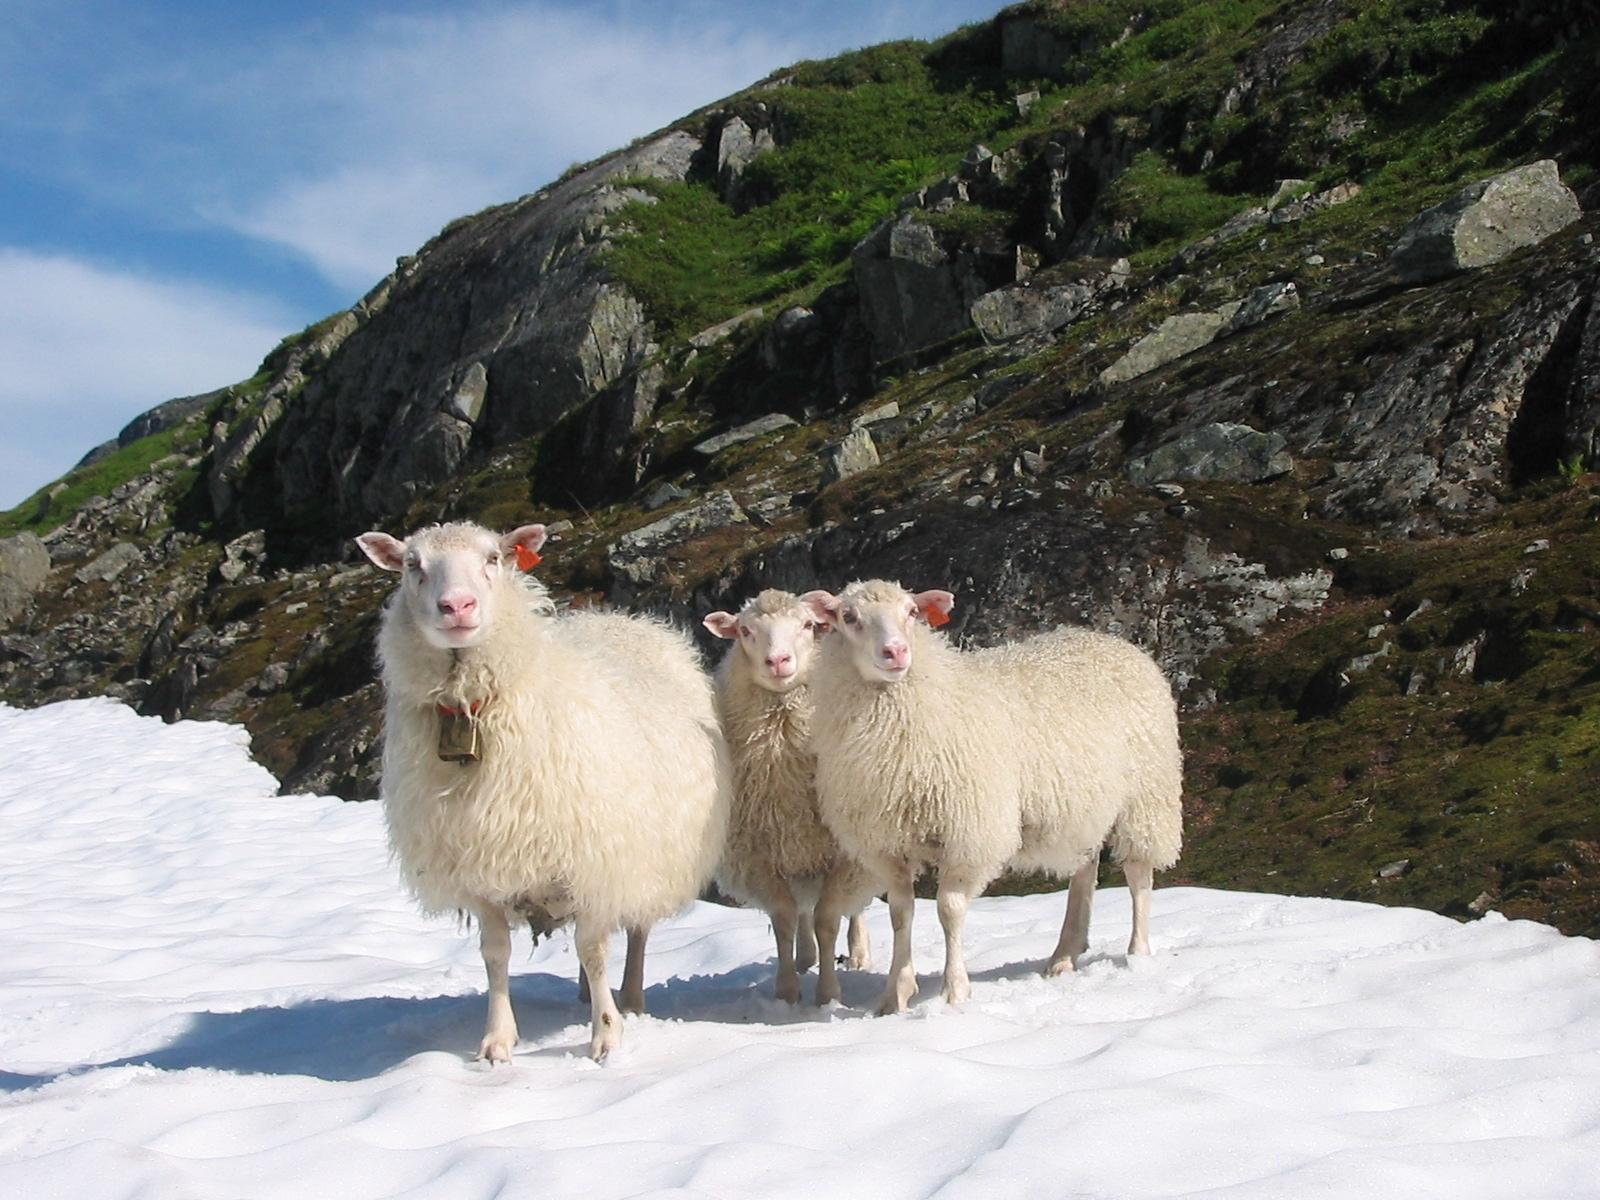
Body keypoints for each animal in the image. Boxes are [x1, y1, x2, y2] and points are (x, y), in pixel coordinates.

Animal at [356, 520, 730, 1062]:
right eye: (412, 564)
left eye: (493, 558)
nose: (457, 607)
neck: (472, 707)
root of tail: (621, 619)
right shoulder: (482, 870)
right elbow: (495, 955)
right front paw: (497, 1042)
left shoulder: (595, 862)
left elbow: (595, 949)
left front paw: (605, 1036)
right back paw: (585, 995)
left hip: (648, 850)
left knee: (637, 928)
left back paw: (630, 997)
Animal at [702, 589, 876, 1005]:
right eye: (745, 631)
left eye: (808, 625)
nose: (778, 661)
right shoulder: (760, 857)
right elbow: (784, 918)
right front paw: (786, 991)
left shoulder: (843, 855)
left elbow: (829, 919)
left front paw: (828, 993)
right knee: (803, 912)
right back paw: (804, 957)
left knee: (852, 910)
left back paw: (858, 952)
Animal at [803, 580, 1182, 1016]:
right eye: (849, 617)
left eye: (912, 612)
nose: (896, 652)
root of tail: (1109, 641)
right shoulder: (887, 844)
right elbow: (902, 912)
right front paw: (895, 995)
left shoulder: (970, 833)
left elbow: (949, 910)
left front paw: (955, 991)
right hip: (1082, 807)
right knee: (1085, 872)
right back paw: (1064, 955)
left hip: (1147, 794)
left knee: (1138, 875)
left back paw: (1137, 952)